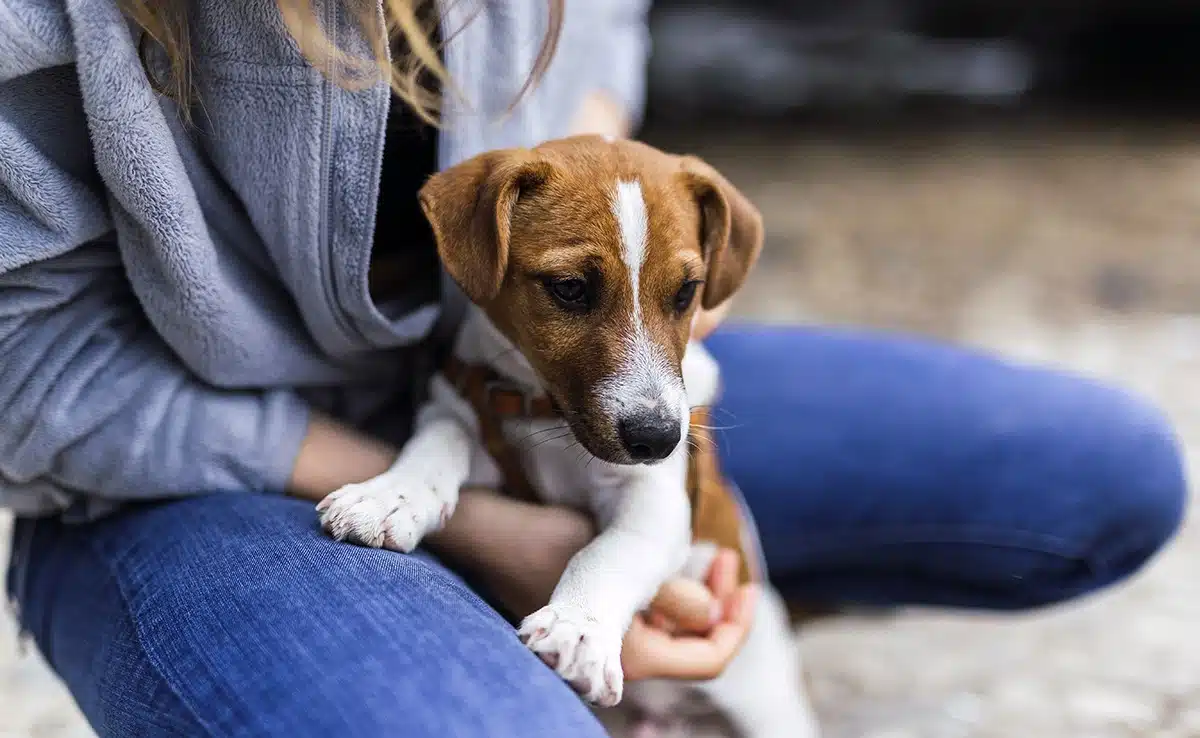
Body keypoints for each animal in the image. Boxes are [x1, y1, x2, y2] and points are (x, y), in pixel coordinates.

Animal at [319, 135, 820, 734]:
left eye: (686, 293)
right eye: (570, 289)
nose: (657, 440)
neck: (546, 416)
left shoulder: (657, 499)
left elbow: (610, 552)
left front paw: (578, 627)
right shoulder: (466, 410)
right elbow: (440, 440)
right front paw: (391, 496)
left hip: (767, 700)